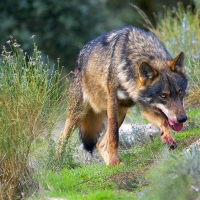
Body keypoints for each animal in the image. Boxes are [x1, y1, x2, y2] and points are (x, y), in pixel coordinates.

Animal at [58, 25, 188, 165]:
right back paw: (58, 163)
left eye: (180, 92)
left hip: (121, 113)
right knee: (62, 137)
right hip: (79, 114)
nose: (182, 119)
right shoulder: (113, 102)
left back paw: (111, 165)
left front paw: (167, 138)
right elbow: (114, 136)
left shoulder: (146, 109)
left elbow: (164, 121)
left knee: (99, 143)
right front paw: (114, 160)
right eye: (163, 96)